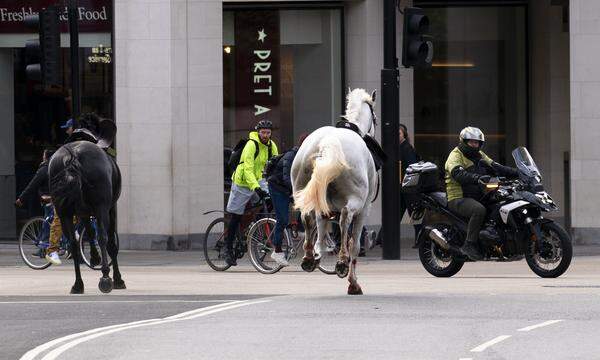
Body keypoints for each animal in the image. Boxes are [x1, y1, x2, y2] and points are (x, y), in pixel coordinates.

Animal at [49, 115, 124, 296]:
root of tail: (73, 157)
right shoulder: (110, 209)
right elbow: (110, 243)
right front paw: (118, 279)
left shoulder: (82, 211)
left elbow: (88, 232)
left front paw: (94, 257)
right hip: (101, 207)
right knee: (103, 238)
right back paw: (105, 278)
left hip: (63, 211)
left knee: (73, 244)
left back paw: (78, 284)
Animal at [290, 88, 376, 296]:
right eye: (376, 118)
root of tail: (326, 144)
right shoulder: (364, 210)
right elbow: (355, 244)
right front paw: (353, 283)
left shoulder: (322, 207)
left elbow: (321, 234)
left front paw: (317, 254)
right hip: (355, 201)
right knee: (345, 219)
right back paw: (342, 262)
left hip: (303, 192)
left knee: (307, 218)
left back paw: (308, 257)